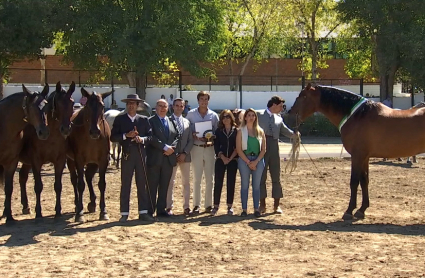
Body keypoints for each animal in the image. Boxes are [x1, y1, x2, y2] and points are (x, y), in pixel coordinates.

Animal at [0, 83, 49, 223]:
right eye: (32, 107)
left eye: (46, 105)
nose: (43, 132)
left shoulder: (11, 162)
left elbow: (8, 188)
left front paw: (10, 217)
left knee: (22, 177)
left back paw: (24, 207)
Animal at [18, 81, 75, 218]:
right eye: (57, 103)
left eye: (72, 102)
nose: (66, 129)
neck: (51, 135)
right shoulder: (36, 161)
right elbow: (38, 186)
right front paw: (38, 213)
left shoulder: (60, 161)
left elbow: (58, 186)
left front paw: (58, 212)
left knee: (22, 177)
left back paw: (26, 206)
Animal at [66, 88, 112, 223]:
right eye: (87, 106)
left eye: (102, 106)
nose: (95, 131)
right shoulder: (79, 160)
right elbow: (80, 185)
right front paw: (79, 213)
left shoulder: (102, 160)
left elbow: (102, 184)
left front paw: (103, 211)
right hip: (70, 161)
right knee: (75, 180)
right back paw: (77, 204)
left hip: (92, 162)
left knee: (88, 177)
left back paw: (92, 203)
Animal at [288, 83, 425, 220]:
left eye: (303, 96)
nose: (289, 115)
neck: (357, 116)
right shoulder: (364, 157)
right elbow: (364, 180)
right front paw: (361, 210)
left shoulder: (357, 156)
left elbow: (354, 181)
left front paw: (349, 211)